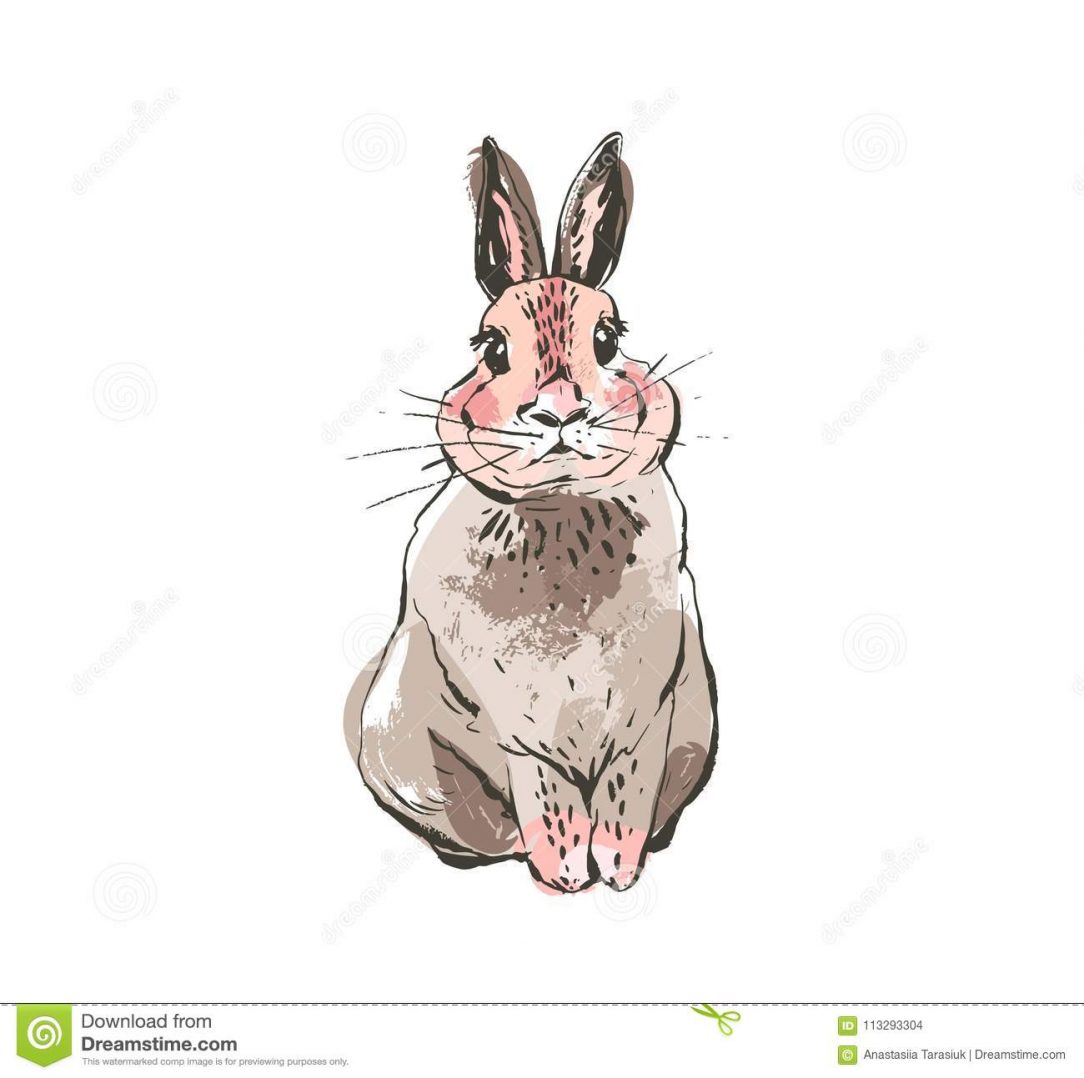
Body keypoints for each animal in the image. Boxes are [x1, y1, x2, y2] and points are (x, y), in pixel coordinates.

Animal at [344, 133, 717, 893]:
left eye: (608, 338)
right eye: (492, 348)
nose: (558, 413)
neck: (562, 510)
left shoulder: (647, 716)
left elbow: (625, 798)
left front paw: (618, 873)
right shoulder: (521, 735)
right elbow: (549, 801)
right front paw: (568, 876)